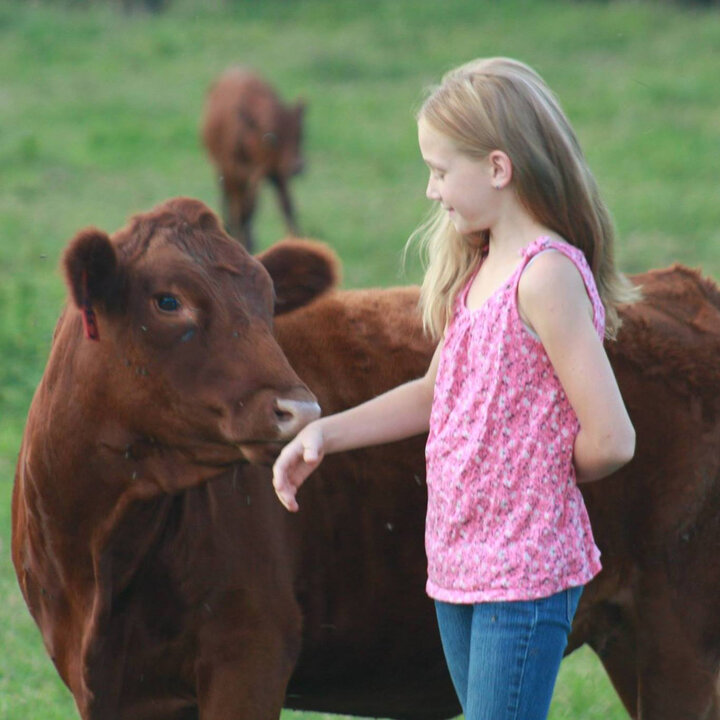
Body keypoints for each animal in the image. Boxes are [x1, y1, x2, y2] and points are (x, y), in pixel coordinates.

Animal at [13, 196, 720, 719]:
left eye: (268, 303)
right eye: (167, 300)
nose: (299, 411)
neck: (101, 554)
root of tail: (679, 287)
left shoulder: (248, 653)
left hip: (677, 629)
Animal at [202, 68, 305, 252]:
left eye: (300, 133)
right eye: (270, 137)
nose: (297, 166)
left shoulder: (275, 172)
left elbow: (286, 205)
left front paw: (298, 240)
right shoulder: (234, 172)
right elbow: (241, 209)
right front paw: (244, 243)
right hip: (224, 171)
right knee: (229, 200)